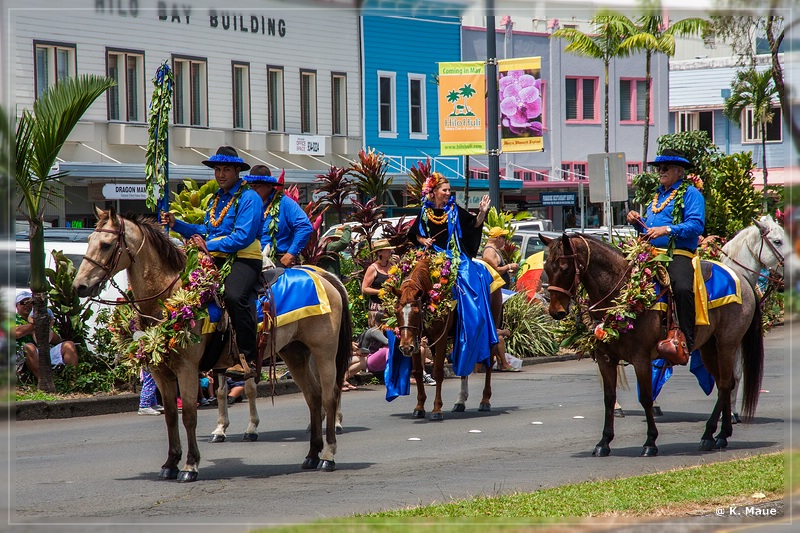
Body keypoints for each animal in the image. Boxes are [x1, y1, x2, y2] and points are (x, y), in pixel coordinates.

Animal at [74, 206, 350, 480]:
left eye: (106, 245)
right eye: (89, 241)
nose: (80, 286)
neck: (170, 295)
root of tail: (324, 277)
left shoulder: (187, 368)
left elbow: (189, 415)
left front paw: (190, 465)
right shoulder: (161, 371)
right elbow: (172, 415)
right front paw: (170, 463)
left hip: (324, 353)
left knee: (329, 396)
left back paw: (328, 455)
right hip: (295, 353)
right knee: (313, 396)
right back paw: (312, 454)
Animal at [392, 256, 500, 418]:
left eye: (416, 312)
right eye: (396, 311)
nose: (404, 347)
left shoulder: (440, 338)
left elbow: (438, 372)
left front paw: (437, 409)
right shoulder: (417, 339)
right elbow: (417, 371)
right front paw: (419, 407)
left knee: (489, 363)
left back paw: (485, 400)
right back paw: (460, 401)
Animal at [540, 231, 764, 456]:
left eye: (565, 268)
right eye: (546, 269)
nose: (555, 311)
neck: (621, 291)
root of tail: (741, 279)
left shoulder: (641, 358)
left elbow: (646, 398)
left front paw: (650, 441)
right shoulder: (606, 359)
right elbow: (609, 398)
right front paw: (604, 442)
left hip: (727, 344)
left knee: (726, 384)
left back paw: (712, 434)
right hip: (709, 347)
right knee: (723, 384)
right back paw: (720, 434)